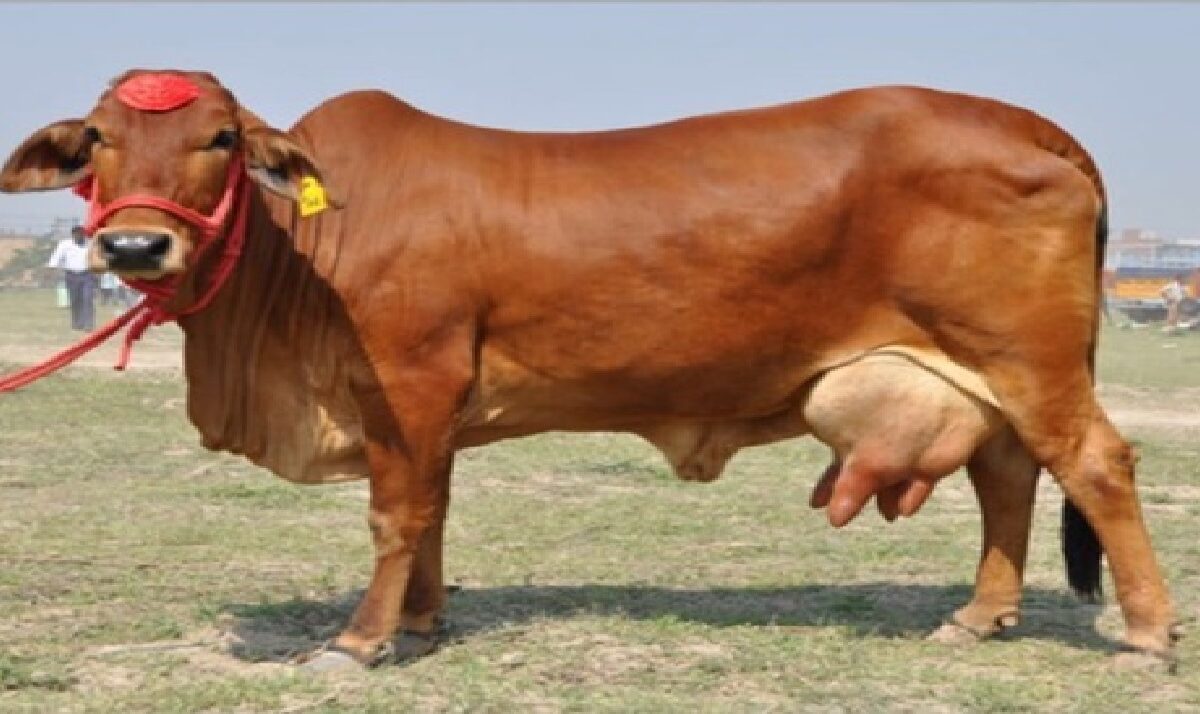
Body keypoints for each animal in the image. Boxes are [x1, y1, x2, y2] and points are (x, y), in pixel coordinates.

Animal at [0, 70, 1178, 670]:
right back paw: (982, 616)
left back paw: (1148, 634)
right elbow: (432, 512)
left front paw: (363, 640)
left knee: (1096, 466)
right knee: (1008, 476)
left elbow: (394, 516)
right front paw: (422, 622)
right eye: (98, 139)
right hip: (982, 372)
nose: (134, 248)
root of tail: (1022, 118)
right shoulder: (433, 411)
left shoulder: (409, 383)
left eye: (218, 140)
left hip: (1027, 362)